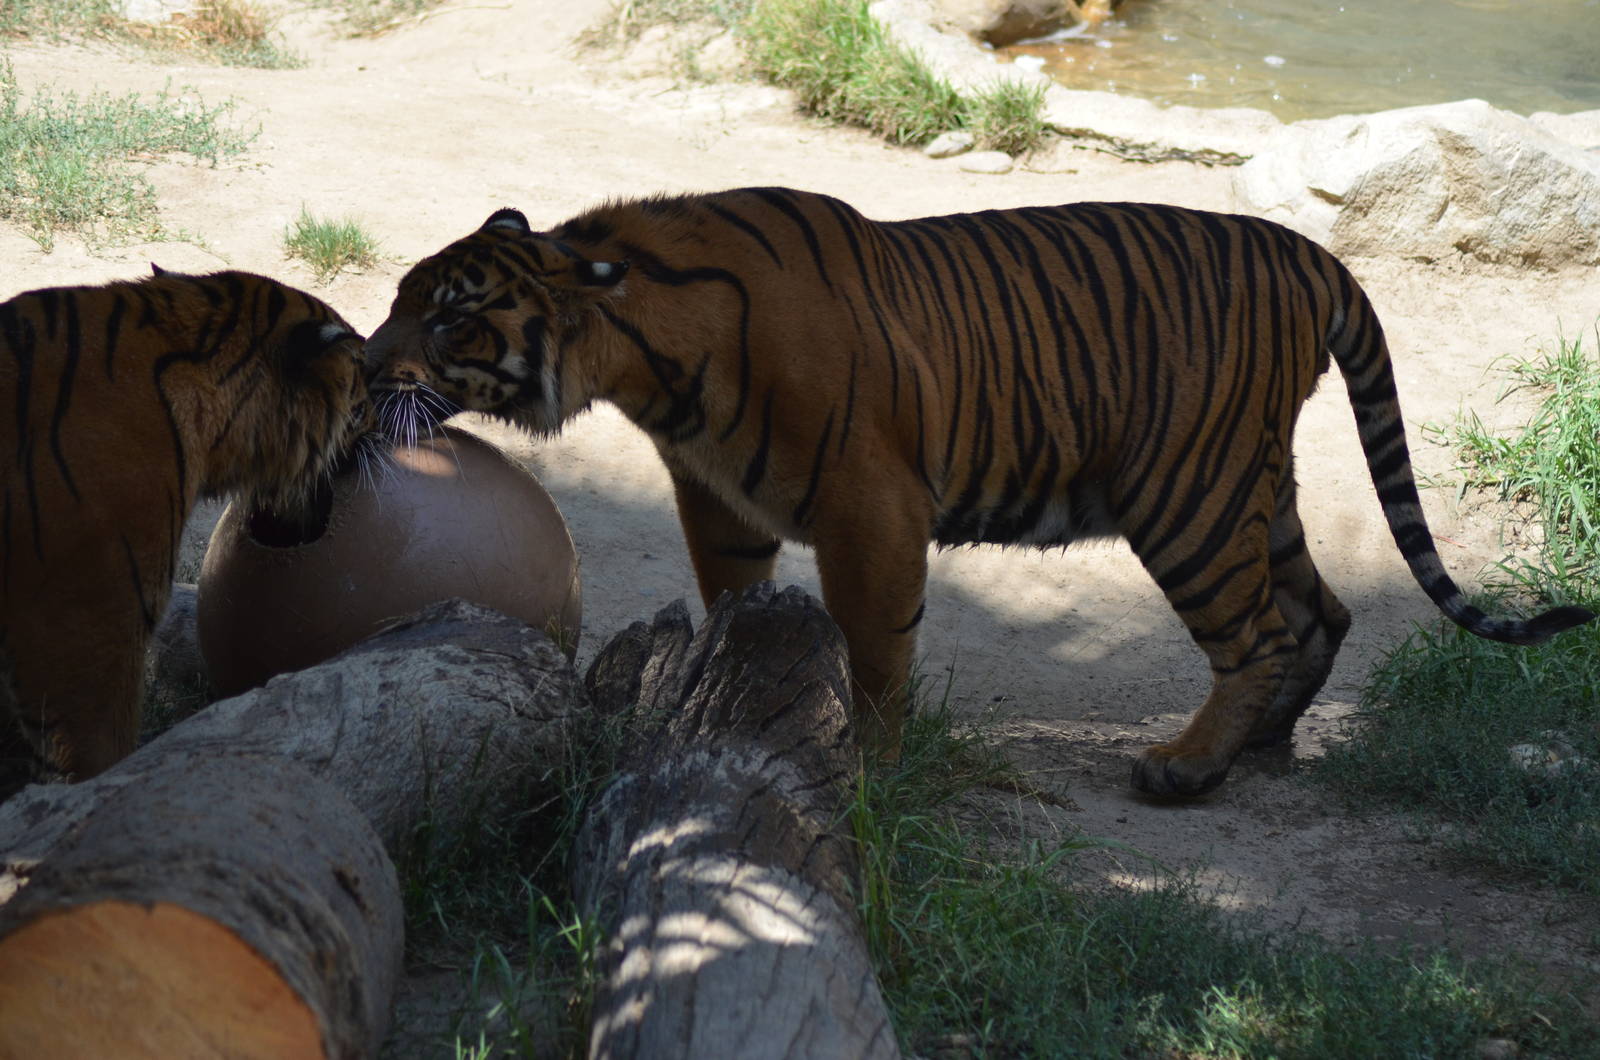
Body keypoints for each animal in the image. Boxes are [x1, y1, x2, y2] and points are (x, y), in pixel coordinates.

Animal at [363, 187, 1594, 797]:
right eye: (398, 299)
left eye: (449, 316)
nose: (365, 366)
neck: (640, 360)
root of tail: (1312, 252)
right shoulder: (718, 500)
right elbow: (734, 601)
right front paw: (724, 690)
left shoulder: (870, 503)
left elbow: (877, 644)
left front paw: (875, 763)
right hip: (1251, 484)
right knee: (1319, 610)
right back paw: (1263, 743)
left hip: (1186, 496)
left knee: (1256, 631)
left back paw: (1189, 766)